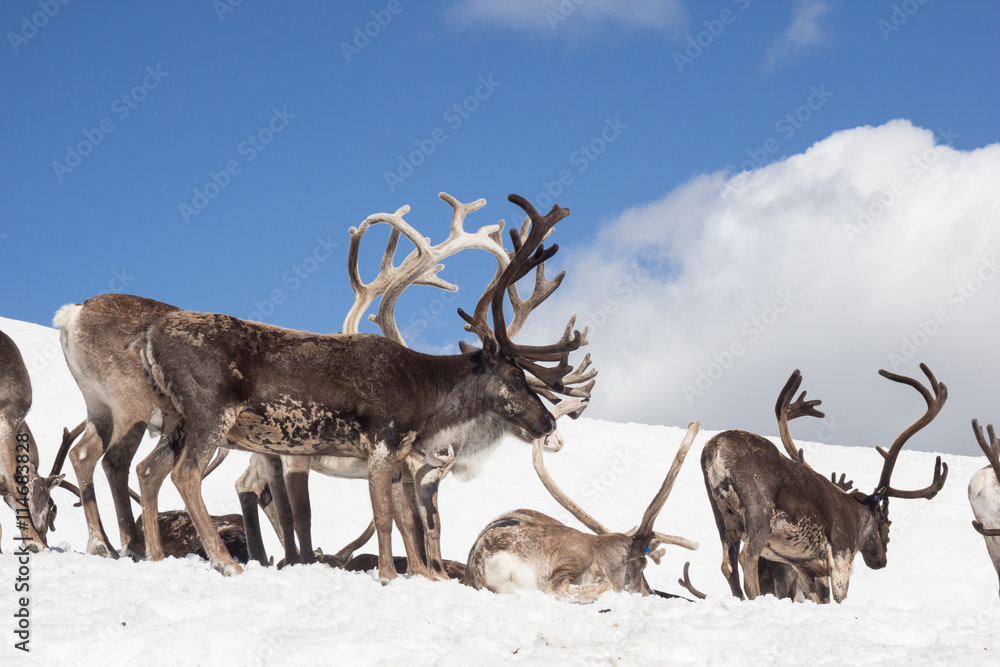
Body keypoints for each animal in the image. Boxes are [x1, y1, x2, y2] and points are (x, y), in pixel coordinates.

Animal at [134, 193, 590, 583]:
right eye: (515, 377)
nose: (548, 423)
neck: (426, 393)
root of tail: (149, 338)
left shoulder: (399, 455)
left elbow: (407, 519)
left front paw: (418, 575)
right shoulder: (384, 444)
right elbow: (388, 517)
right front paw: (389, 574)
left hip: (177, 419)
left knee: (149, 469)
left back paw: (155, 556)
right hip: (210, 413)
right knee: (186, 474)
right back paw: (226, 562)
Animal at [702, 363, 949, 603]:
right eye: (883, 521)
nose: (881, 560)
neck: (856, 516)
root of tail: (713, 448)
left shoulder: (807, 569)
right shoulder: (841, 554)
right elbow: (841, 598)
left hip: (723, 517)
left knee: (728, 566)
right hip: (759, 514)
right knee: (747, 558)